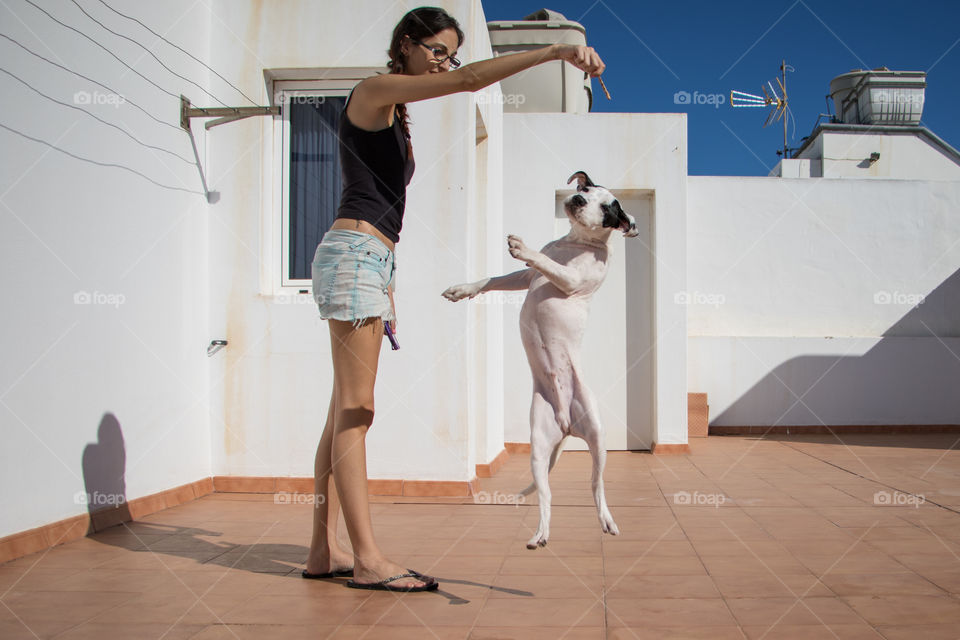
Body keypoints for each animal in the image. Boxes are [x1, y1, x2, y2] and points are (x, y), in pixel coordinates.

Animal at [442, 171, 636, 552]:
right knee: (546, 496)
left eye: (608, 208)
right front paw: (463, 289)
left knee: (597, 485)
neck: (575, 244)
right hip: (538, 448)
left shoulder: (571, 279)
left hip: (599, 438)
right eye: (585, 189)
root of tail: (567, 425)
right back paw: (540, 534)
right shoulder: (524, 279)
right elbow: (495, 279)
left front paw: (522, 247)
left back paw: (606, 519)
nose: (578, 200)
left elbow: (543, 262)